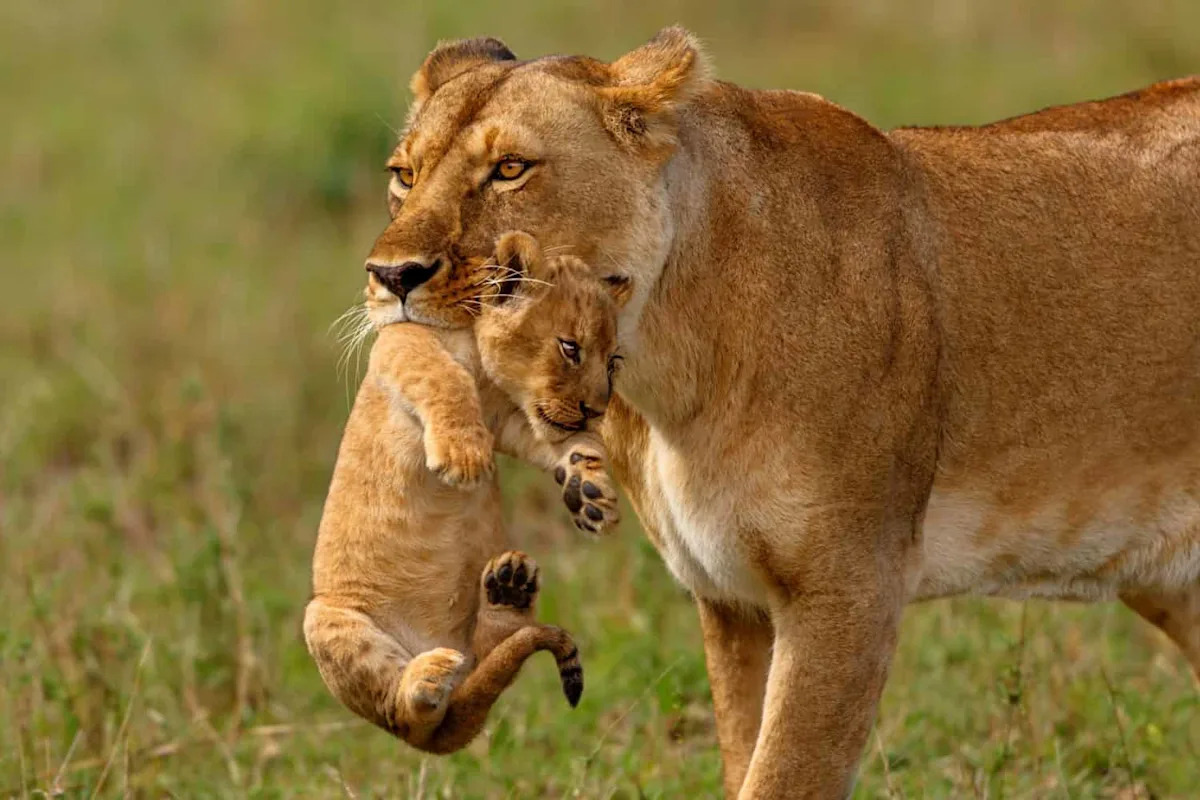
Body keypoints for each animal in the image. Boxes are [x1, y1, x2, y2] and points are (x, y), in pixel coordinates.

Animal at [303, 232, 627, 753]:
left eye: (614, 362)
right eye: (570, 348)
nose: (596, 410)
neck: (483, 368)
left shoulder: (509, 420)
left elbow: (566, 444)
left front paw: (590, 493)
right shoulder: (398, 343)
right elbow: (439, 374)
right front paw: (463, 458)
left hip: (475, 652)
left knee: (487, 656)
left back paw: (508, 589)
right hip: (325, 620)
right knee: (406, 715)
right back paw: (425, 680)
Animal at [361, 28, 1200, 797]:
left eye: (511, 169)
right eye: (404, 176)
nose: (390, 276)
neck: (668, 362)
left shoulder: (850, 587)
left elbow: (784, 774)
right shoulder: (733, 600)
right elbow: (745, 757)